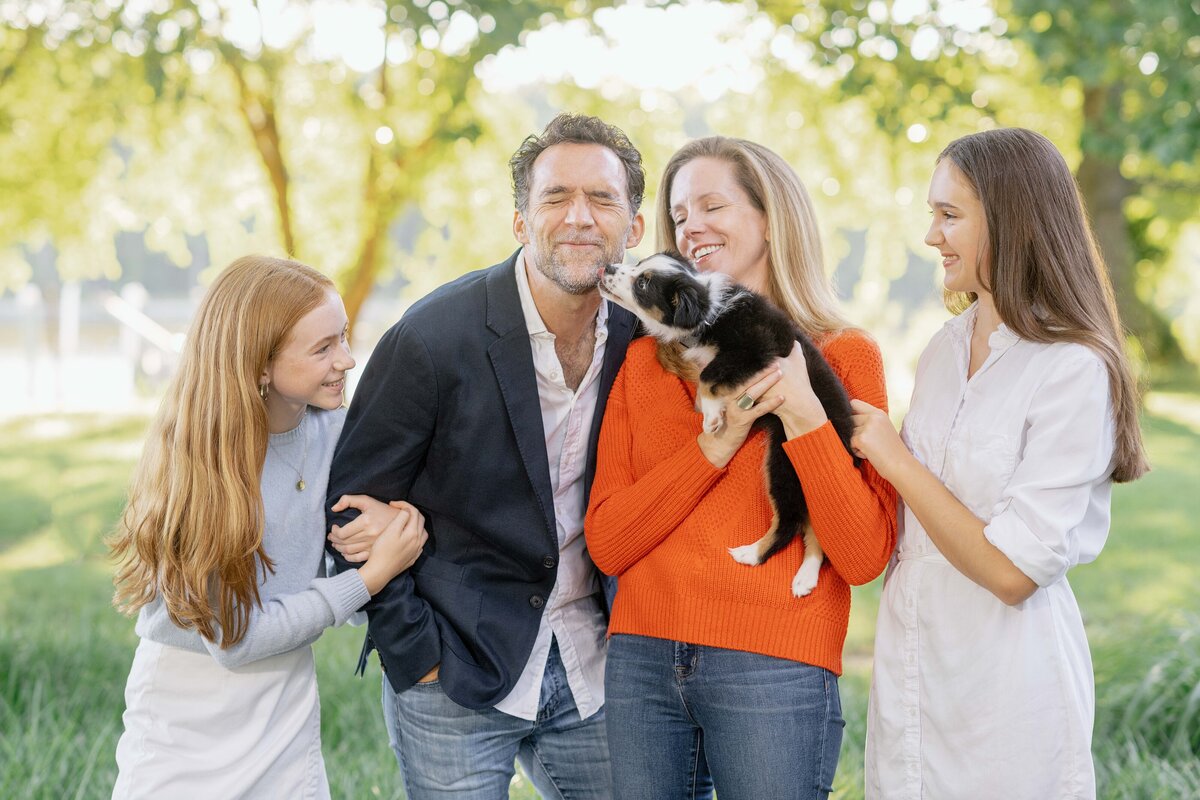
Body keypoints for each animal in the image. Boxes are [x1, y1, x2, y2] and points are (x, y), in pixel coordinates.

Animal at [597, 253, 859, 597]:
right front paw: (708, 409)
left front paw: (711, 416)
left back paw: (752, 554)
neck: (710, 313)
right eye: (640, 266)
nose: (608, 268)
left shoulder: (755, 348)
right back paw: (805, 577)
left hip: (783, 463)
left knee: (791, 521)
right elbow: (705, 374)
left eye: (642, 283)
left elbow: (708, 374)